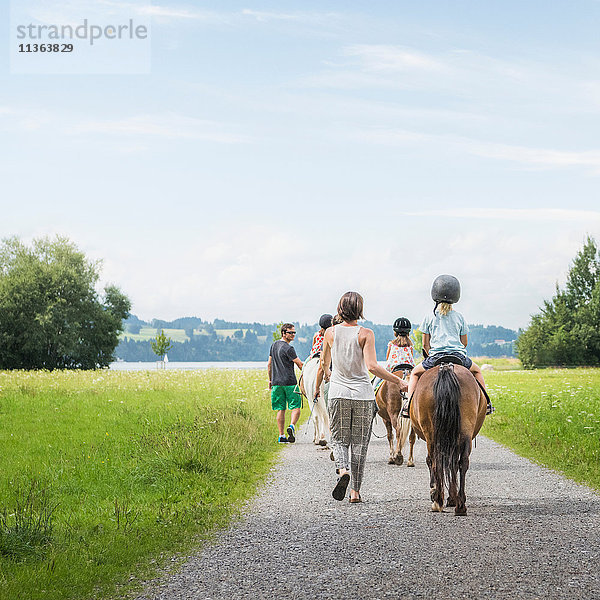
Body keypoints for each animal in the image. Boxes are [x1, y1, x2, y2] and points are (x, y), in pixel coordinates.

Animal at [412, 360, 488, 516]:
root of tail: (446, 367)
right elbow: (452, 464)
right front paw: (452, 498)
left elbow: (435, 463)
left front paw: (437, 492)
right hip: (465, 430)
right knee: (462, 462)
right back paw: (460, 505)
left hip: (432, 435)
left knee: (435, 462)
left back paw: (437, 500)